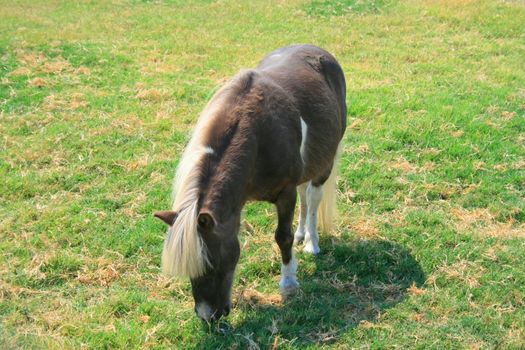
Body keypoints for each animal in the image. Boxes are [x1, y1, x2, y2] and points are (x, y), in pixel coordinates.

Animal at [154, 44, 346, 322]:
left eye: (212, 262)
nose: (207, 316)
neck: (257, 138)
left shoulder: (285, 193)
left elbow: (282, 237)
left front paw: (289, 283)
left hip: (325, 165)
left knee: (312, 198)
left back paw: (311, 242)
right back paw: (303, 235)